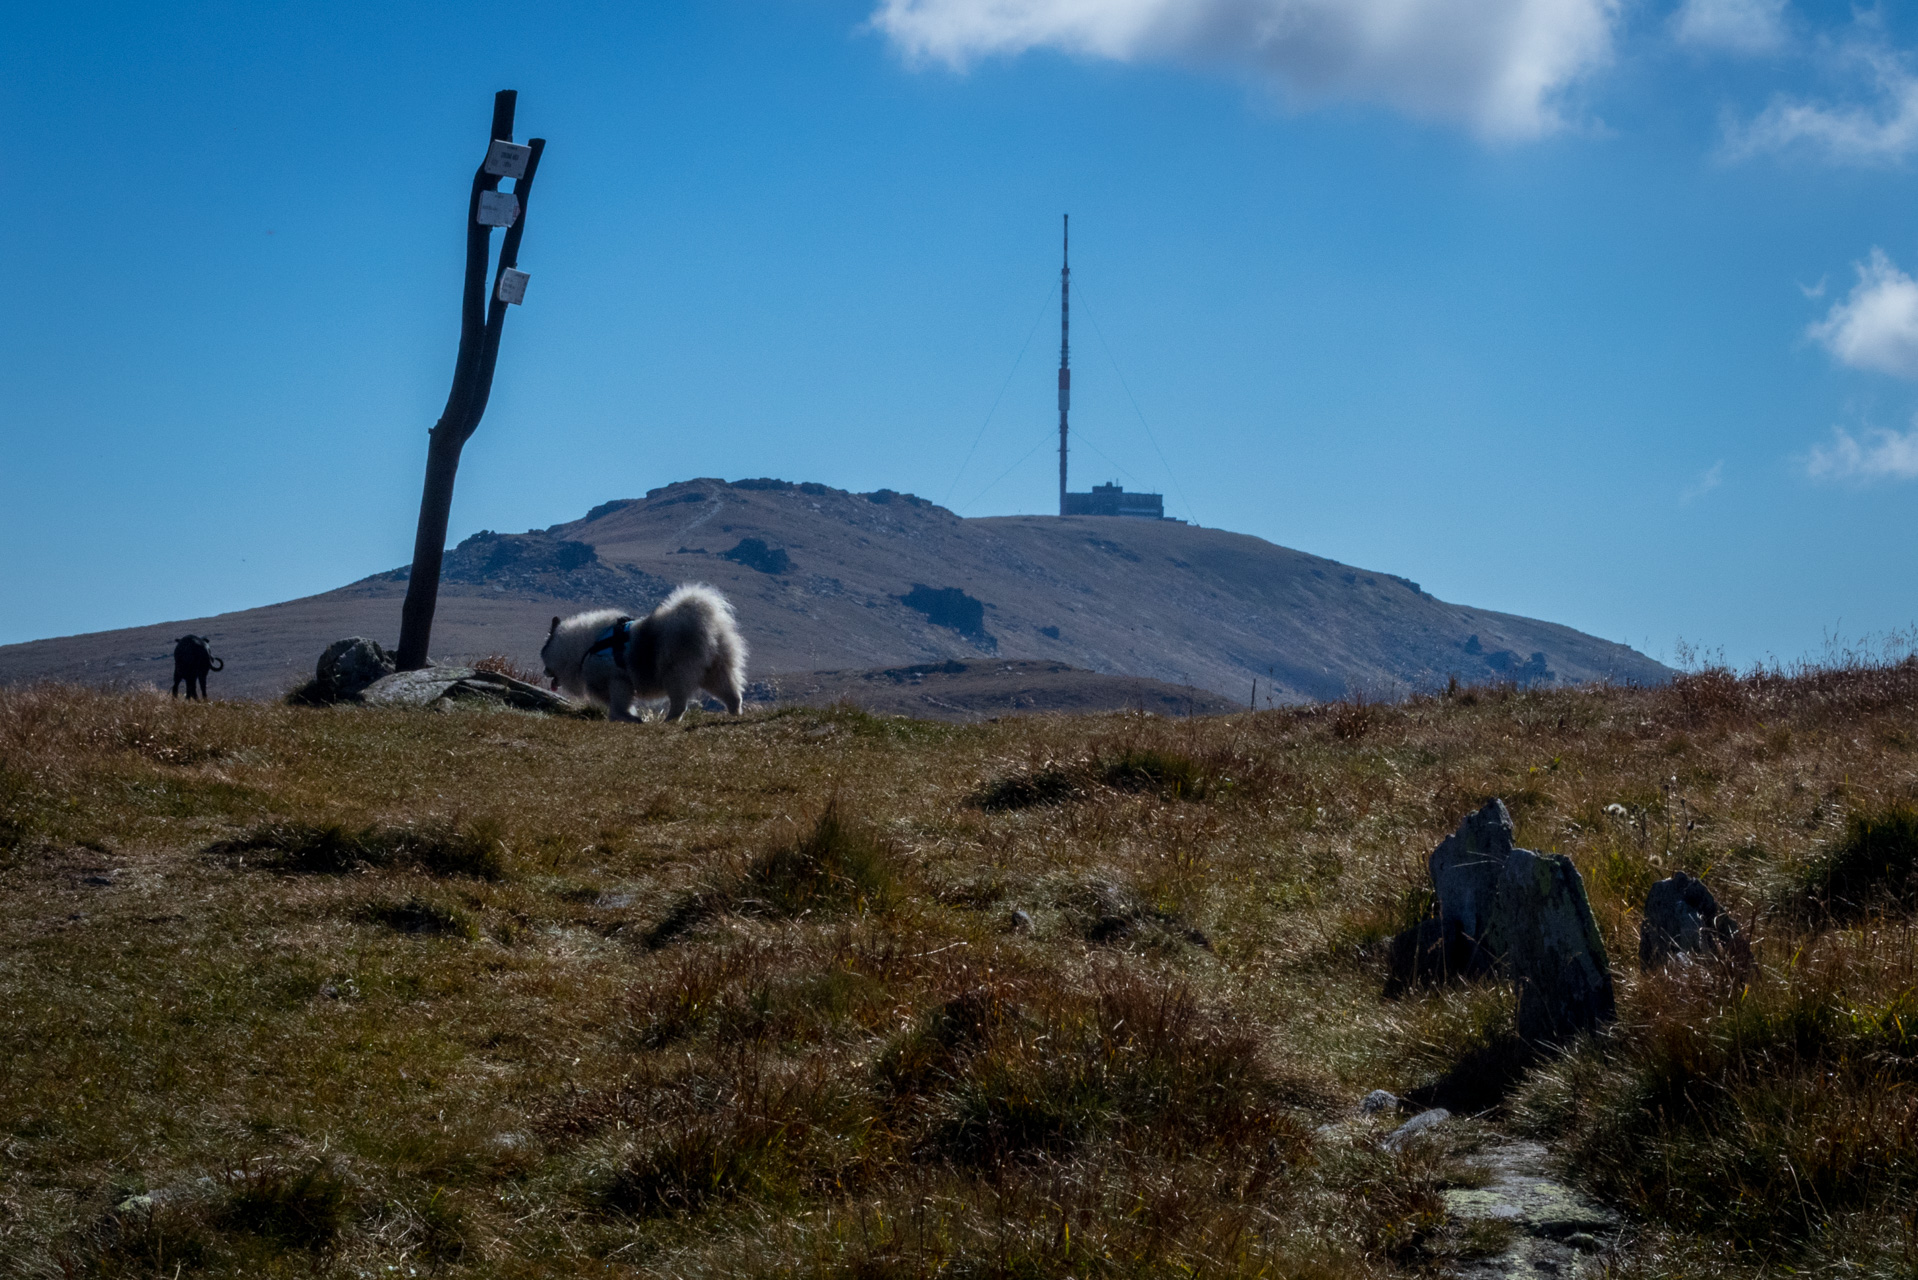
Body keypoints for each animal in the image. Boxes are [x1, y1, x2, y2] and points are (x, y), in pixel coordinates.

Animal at [548, 587, 748, 725]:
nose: (544, 672)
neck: (585, 646)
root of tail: (707, 622)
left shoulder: (617, 681)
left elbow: (618, 707)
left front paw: (629, 718)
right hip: (715, 671)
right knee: (732, 694)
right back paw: (734, 714)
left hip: (676, 673)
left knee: (679, 704)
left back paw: (667, 721)